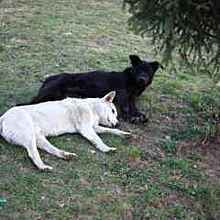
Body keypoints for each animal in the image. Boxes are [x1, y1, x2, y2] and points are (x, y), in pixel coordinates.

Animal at [0, 91, 130, 170]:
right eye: (113, 111)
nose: (117, 123)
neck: (91, 107)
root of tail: (3, 117)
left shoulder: (94, 127)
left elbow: (110, 131)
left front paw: (124, 133)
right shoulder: (86, 129)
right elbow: (98, 140)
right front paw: (106, 148)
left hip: (38, 138)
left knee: (51, 150)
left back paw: (66, 155)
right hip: (29, 136)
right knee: (33, 153)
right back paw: (43, 167)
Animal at [22, 54, 162, 123]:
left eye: (148, 71)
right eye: (138, 70)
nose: (142, 79)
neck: (132, 81)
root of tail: (49, 78)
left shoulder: (132, 98)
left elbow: (134, 108)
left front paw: (138, 115)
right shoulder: (121, 95)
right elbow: (126, 108)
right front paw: (131, 118)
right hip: (50, 92)